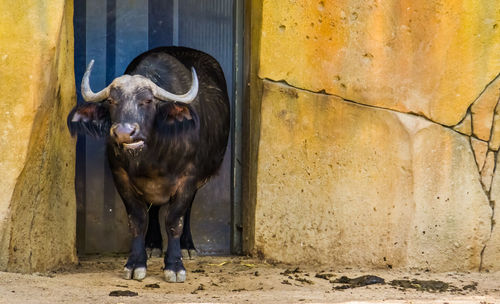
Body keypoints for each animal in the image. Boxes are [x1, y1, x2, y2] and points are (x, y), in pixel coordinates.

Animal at [67, 47, 230, 282]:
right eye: (112, 101)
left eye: (148, 101)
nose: (124, 132)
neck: (152, 158)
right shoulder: (121, 177)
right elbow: (137, 220)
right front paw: (136, 263)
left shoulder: (188, 178)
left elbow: (174, 220)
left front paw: (175, 266)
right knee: (153, 209)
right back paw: (153, 245)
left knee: (187, 210)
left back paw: (187, 247)